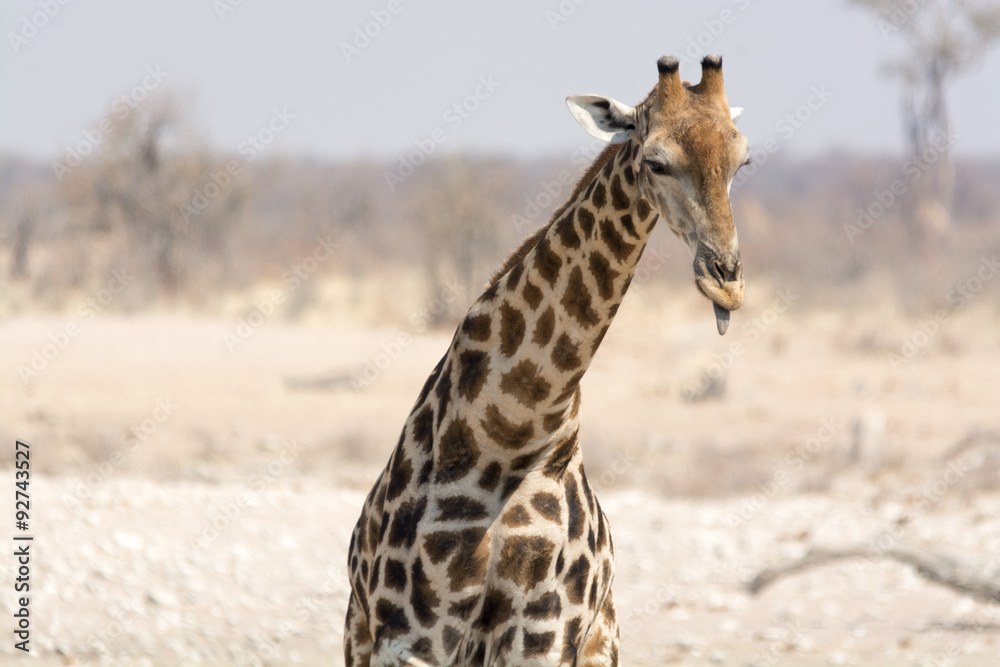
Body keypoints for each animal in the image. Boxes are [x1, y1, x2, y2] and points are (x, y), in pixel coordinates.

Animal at [345, 54, 749, 666]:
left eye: (742, 162)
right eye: (655, 161)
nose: (726, 280)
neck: (507, 431)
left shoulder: (544, 637)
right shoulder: (411, 638)